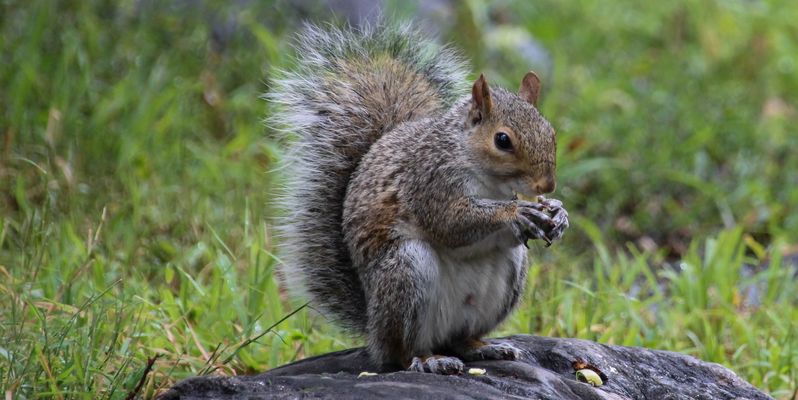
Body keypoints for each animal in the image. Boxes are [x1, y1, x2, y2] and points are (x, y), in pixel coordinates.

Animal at [269, 22, 569, 374]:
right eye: (503, 140)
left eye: (551, 133)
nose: (547, 185)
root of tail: (373, 329)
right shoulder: (428, 181)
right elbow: (450, 223)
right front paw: (516, 211)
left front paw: (558, 215)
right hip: (406, 273)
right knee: (402, 352)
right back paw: (428, 360)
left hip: (505, 279)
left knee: (460, 339)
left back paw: (483, 347)